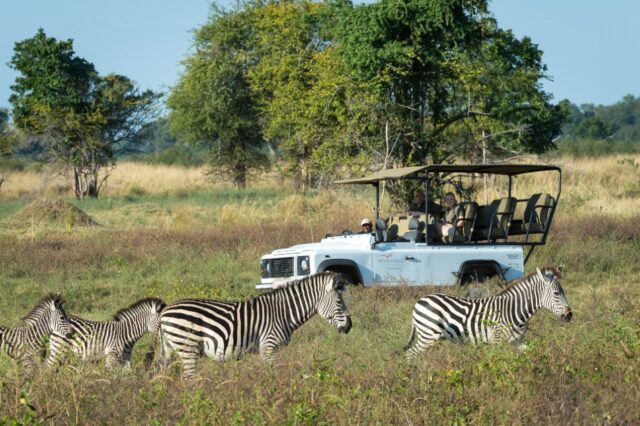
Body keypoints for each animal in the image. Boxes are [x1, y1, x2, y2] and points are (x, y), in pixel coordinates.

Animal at [157, 272, 352, 378]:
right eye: (339, 302)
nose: (349, 326)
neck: (284, 313)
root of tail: (164, 312)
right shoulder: (268, 347)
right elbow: (273, 374)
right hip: (188, 347)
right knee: (188, 380)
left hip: (170, 350)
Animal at [404, 268, 568, 358]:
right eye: (556, 293)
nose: (570, 315)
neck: (514, 310)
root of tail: (419, 301)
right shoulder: (497, 340)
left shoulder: (517, 341)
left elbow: (527, 354)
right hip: (427, 336)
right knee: (410, 354)